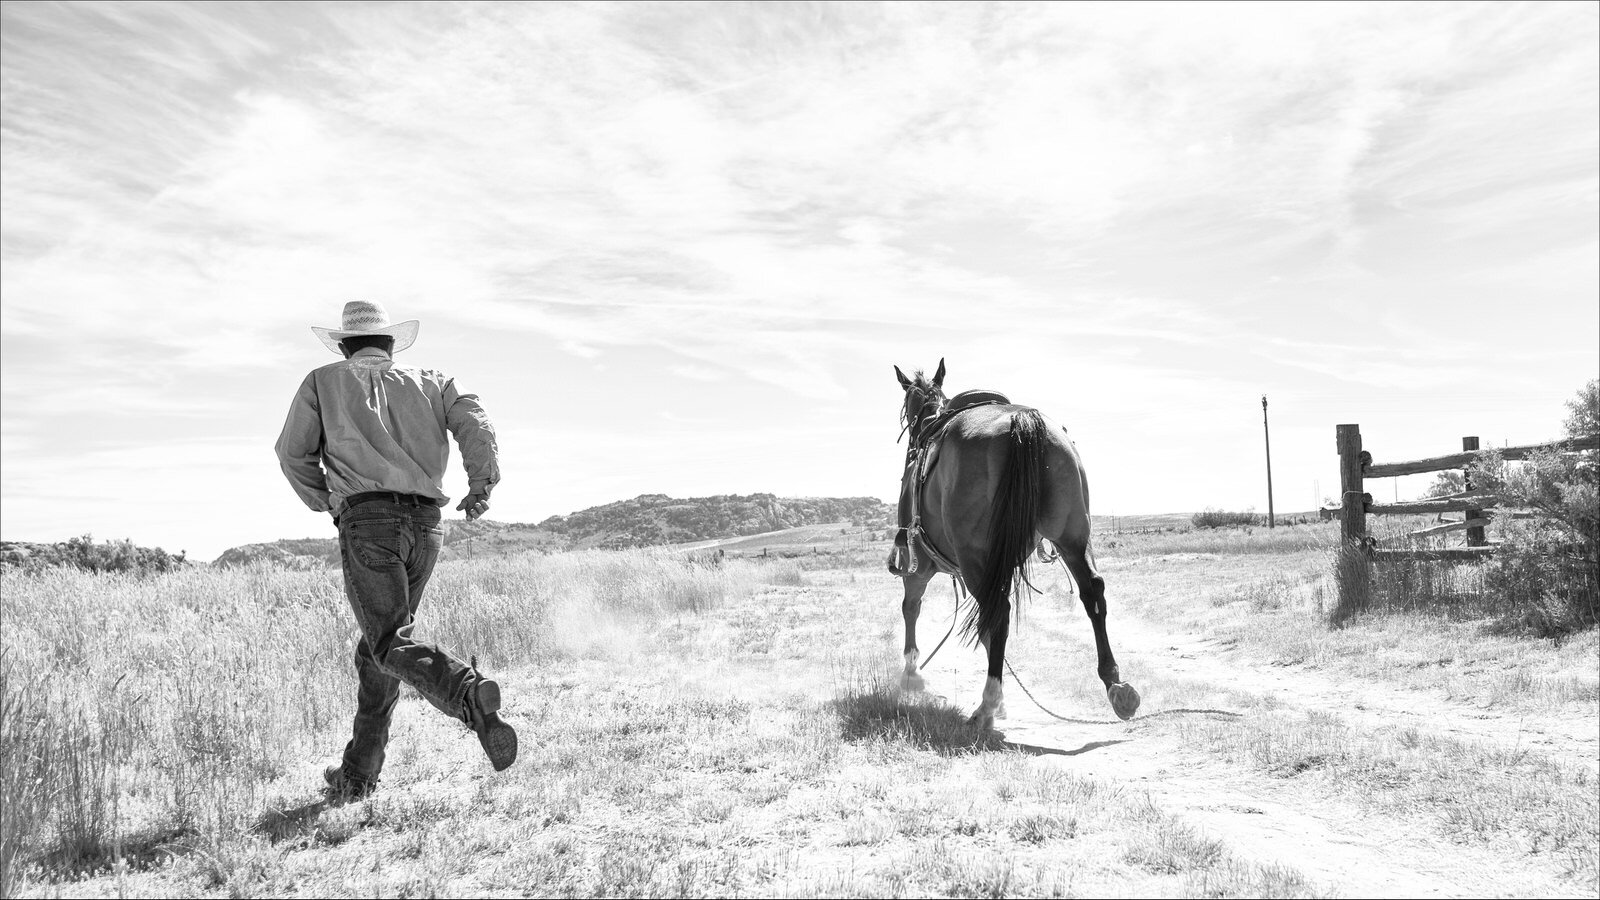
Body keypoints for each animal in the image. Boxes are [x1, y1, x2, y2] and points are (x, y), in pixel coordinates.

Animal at [889, 357, 1139, 730]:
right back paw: (1116, 685)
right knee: (1092, 591)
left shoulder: (917, 562)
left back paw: (986, 704)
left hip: (974, 557)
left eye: (906, 409)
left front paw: (911, 675)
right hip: (1072, 536)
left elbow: (912, 608)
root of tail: (1023, 421)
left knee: (999, 611)